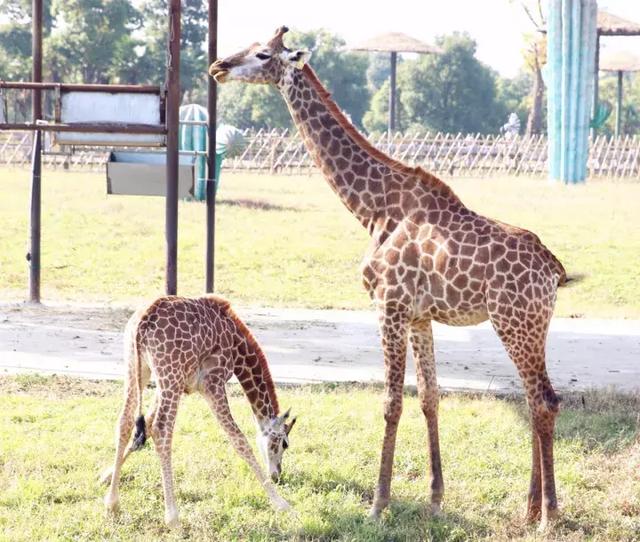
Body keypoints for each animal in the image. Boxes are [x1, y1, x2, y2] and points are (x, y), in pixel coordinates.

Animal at [100, 296, 298, 528]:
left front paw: (106, 477)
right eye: (284, 444)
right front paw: (282, 504)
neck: (238, 348)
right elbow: (240, 441)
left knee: (125, 421)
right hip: (170, 374)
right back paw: (173, 517)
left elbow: (144, 423)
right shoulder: (212, 382)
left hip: (138, 367)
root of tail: (144, 320)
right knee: (161, 430)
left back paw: (112, 504)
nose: (277, 475)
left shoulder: (176, 385)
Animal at [210, 26, 568, 532]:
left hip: (516, 323)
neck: (374, 207)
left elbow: (391, 403)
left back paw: (548, 515)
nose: (218, 66)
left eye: (263, 54)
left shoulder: (388, 306)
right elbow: (430, 398)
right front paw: (435, 499)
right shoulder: (419, 316)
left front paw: (379, 504)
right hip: (528, 326)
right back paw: (530, 507)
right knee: (535, 398)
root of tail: (553, 269)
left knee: (546, 400)